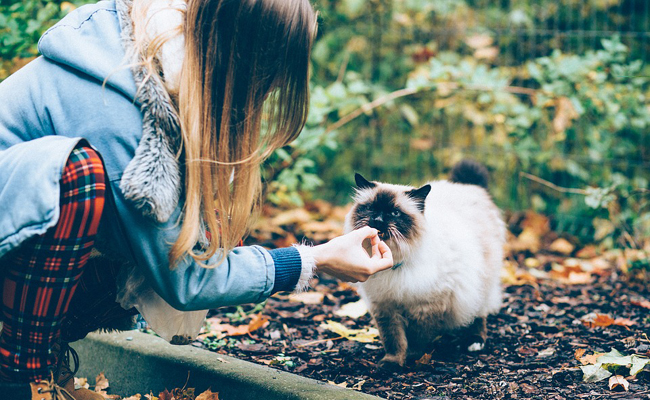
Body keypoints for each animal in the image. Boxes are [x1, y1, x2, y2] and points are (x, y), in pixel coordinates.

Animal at [342, 160, 504, 368]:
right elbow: (393, 340)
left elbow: (416, 338)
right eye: (371, 209)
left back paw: (474, 342)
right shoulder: (385, 307)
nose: (377, 220)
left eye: (394, 213)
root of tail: (469, 187)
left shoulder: (425, 307)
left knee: (478, 315)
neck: (396, 262)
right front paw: (392, 363)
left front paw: (412, 358)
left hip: (480, 285)